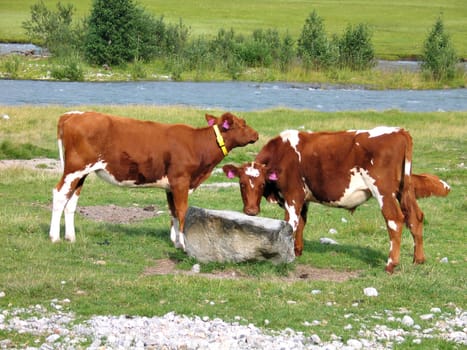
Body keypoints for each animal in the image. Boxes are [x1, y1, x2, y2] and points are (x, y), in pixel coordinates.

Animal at [49, 110, 260, 247]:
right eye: (242, 124)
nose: (257, 134)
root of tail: (72, 115)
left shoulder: (170, 185)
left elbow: (173, 212)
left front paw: (176, 242)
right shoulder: (181, 180)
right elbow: (182, 211)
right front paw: (184, 244)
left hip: (81, 173)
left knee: (71, 200)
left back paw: (70, 237)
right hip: (74, 169)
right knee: (59, 194)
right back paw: (54, 237)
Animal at [225, 129, 452, 274]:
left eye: (262, 183)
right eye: (242, 184)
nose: (251, 210)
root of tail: (399, 131)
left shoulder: (293, 195)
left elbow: (291, 223)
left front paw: (286, 255)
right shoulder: (304, 198)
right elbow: (302, 224)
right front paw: (297, 251)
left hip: (384, 191)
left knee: (395, 220)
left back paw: (390, 264)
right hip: (405, 189)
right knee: (415, 217)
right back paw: (418, 260)